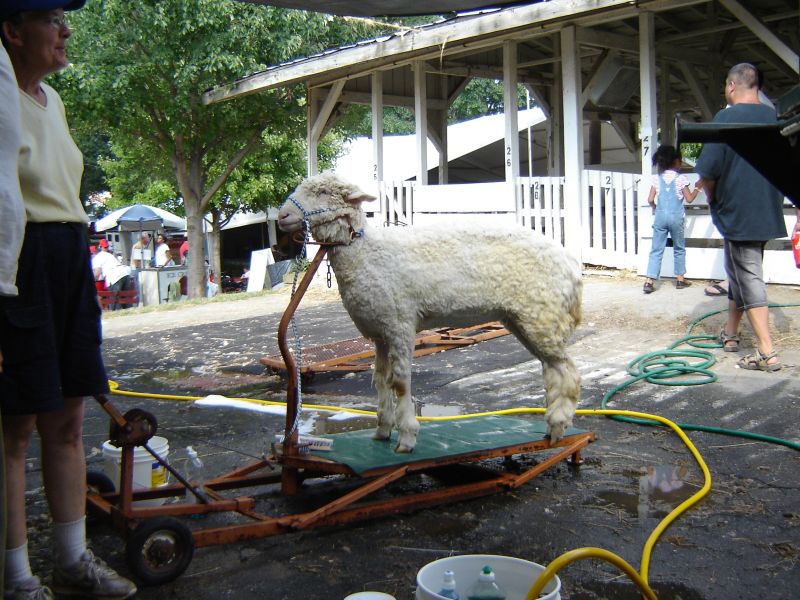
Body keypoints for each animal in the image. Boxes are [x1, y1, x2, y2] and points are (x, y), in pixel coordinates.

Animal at [278, 171, 584, 452]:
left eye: (322, 192)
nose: (282, 216)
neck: (366, 254)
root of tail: (570, 263)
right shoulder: (380, 332)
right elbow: (380, 381)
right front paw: (382, 430)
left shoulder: (400, 324)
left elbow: (400, 382)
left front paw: (406, 437)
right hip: (525, 319)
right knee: (552, 369)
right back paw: (551, 426)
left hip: (542, 315)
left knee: (568, 370)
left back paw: (558, 425)